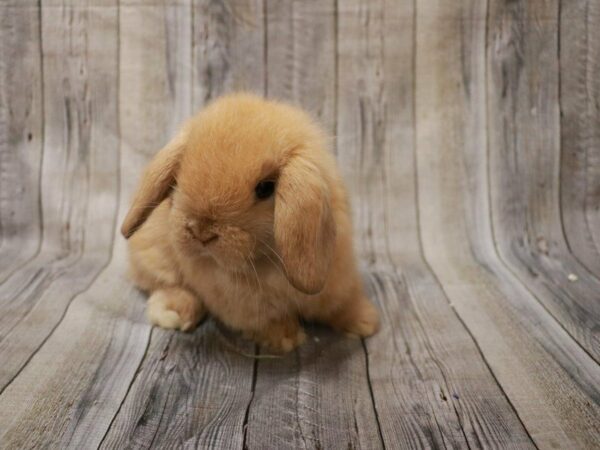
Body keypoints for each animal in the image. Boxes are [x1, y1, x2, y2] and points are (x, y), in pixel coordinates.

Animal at [120, 92, 380, 352]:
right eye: (178, 177)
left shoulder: (339, 278)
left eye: (265, 188)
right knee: (165, 284)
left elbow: (342, 304)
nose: (201, 232)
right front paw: (285, 338)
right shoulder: (242, 305)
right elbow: (266, 319)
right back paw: (173, 312)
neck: (270, 262)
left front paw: (365, 322)